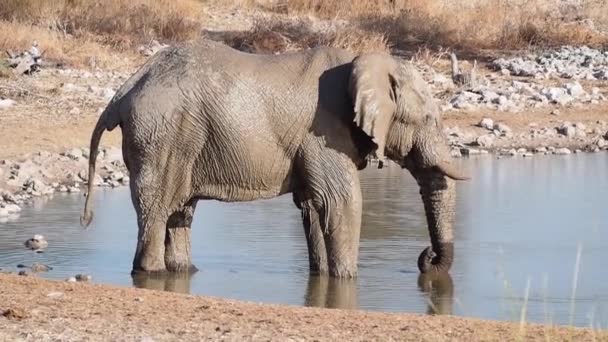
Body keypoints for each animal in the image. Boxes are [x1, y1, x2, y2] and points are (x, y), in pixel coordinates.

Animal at [79, 38, 470, 278]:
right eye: (429, 119)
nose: (426, 257)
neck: (363, 61)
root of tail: (126, 88)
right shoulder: (324, 131)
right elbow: (342, 201)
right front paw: (346, 279)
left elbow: (314, 206)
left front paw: (323, 278)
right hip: (160, 135)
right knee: (157, 209)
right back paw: (152, 272)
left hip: (175, 138)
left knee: (180, 211)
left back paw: (185, 272)